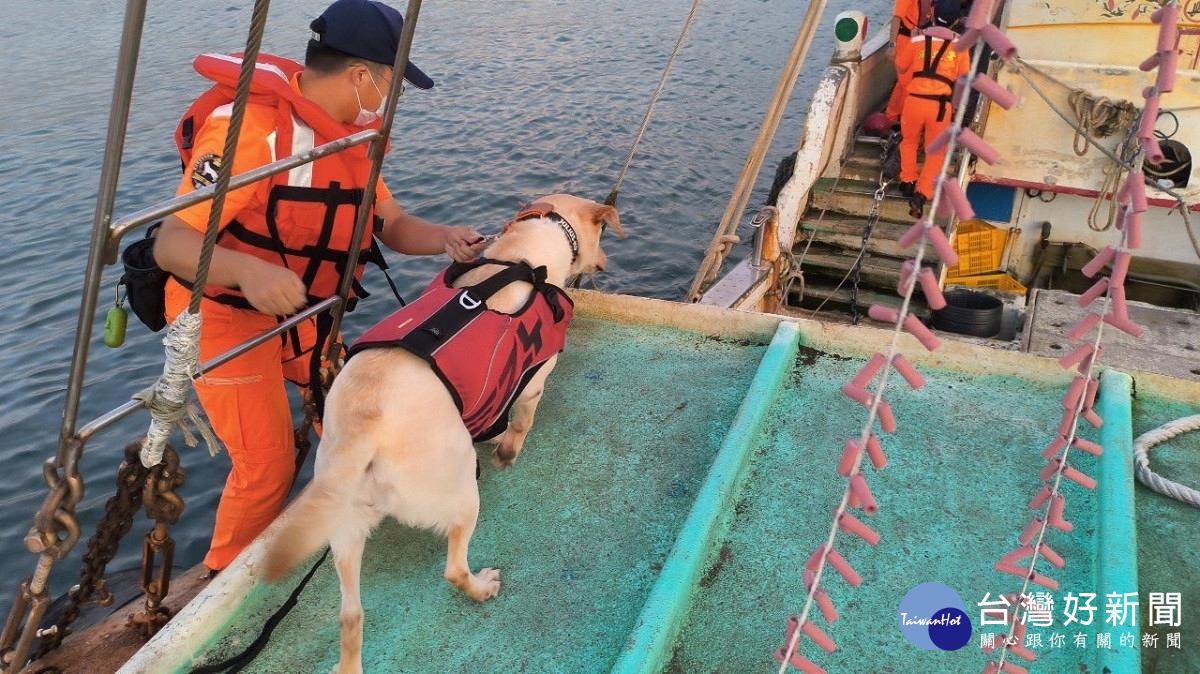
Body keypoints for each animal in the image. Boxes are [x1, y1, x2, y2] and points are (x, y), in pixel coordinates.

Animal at [262, 191, 619, 666]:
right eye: (602, 234)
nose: (606, 263)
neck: (522, 253)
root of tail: (363, 427)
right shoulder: (534, 380)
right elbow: (521, 422)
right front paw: (507, 451)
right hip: (462, 491)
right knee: (453, 568)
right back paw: (482, 587)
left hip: (344, 527)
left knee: (350, 615)